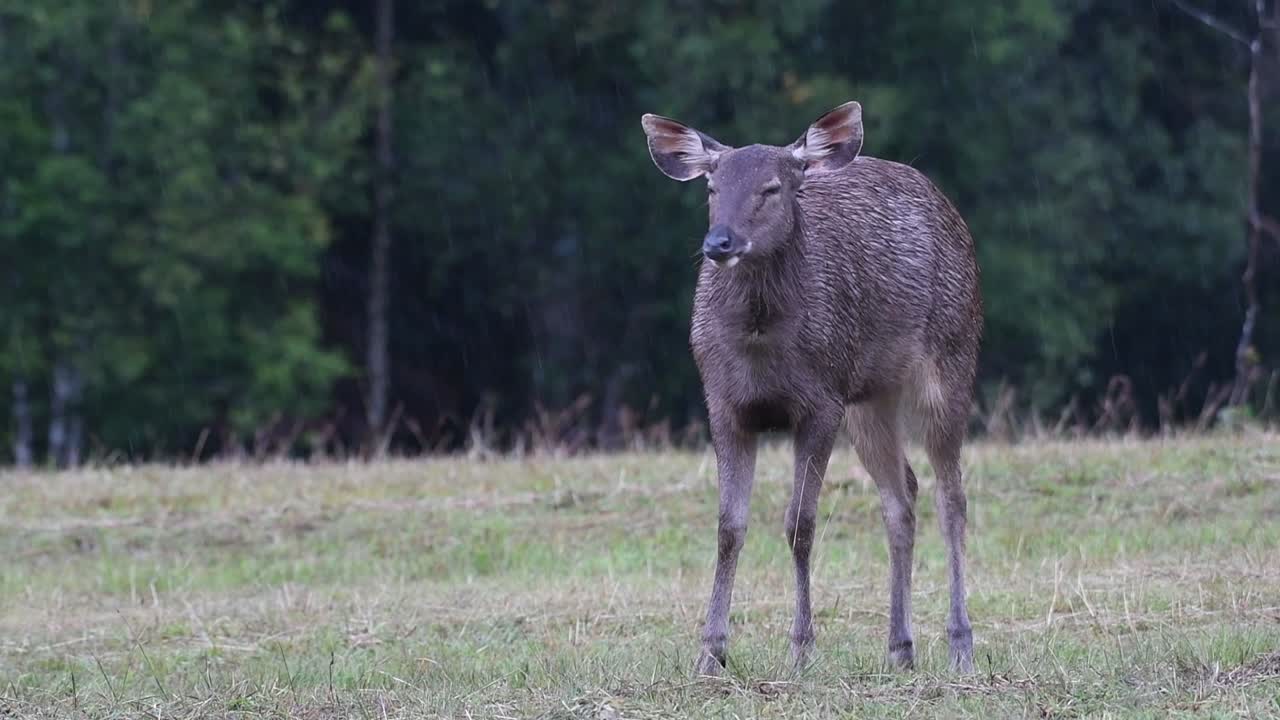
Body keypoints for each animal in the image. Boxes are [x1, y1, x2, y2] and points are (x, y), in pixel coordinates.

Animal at [640, 101, 982, 675]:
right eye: (711, 186)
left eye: (773, 187)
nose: (719, 243)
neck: (761, 347)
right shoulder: (723, 405)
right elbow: (729, 527)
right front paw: (710, 653)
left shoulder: (820, 401)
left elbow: (800, 524)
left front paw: (801, 649)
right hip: (869, 398)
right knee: (902, 494)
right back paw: (900, 648)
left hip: (952, 356)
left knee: (951, 495)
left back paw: (960, 644)